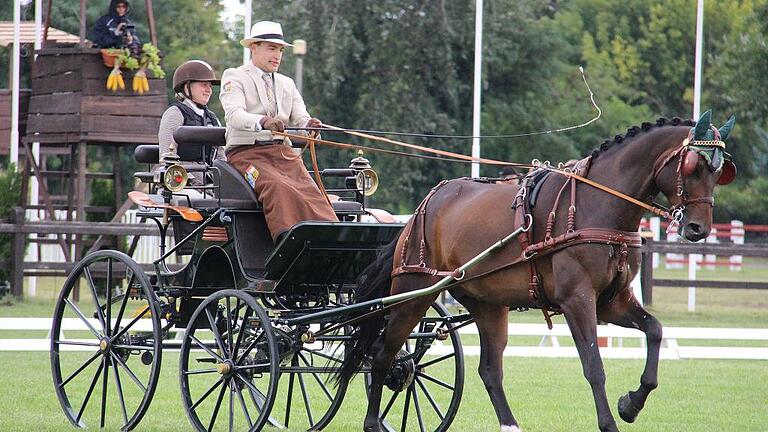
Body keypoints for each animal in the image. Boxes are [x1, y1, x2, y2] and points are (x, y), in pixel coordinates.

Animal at [340, 112, 736, 432]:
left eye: (720, 171)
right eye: (693, 166)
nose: (698, 229)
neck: (599, 204)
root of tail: (423, 206)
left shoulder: (612, 302)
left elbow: (654, 330)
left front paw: (631, 404)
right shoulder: (577, 300)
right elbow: (593, 365)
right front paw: (609, 422)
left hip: (487, 304)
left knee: (490, 371)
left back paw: (510, 425)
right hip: (414, 292)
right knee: (383, 354)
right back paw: (373, 422)